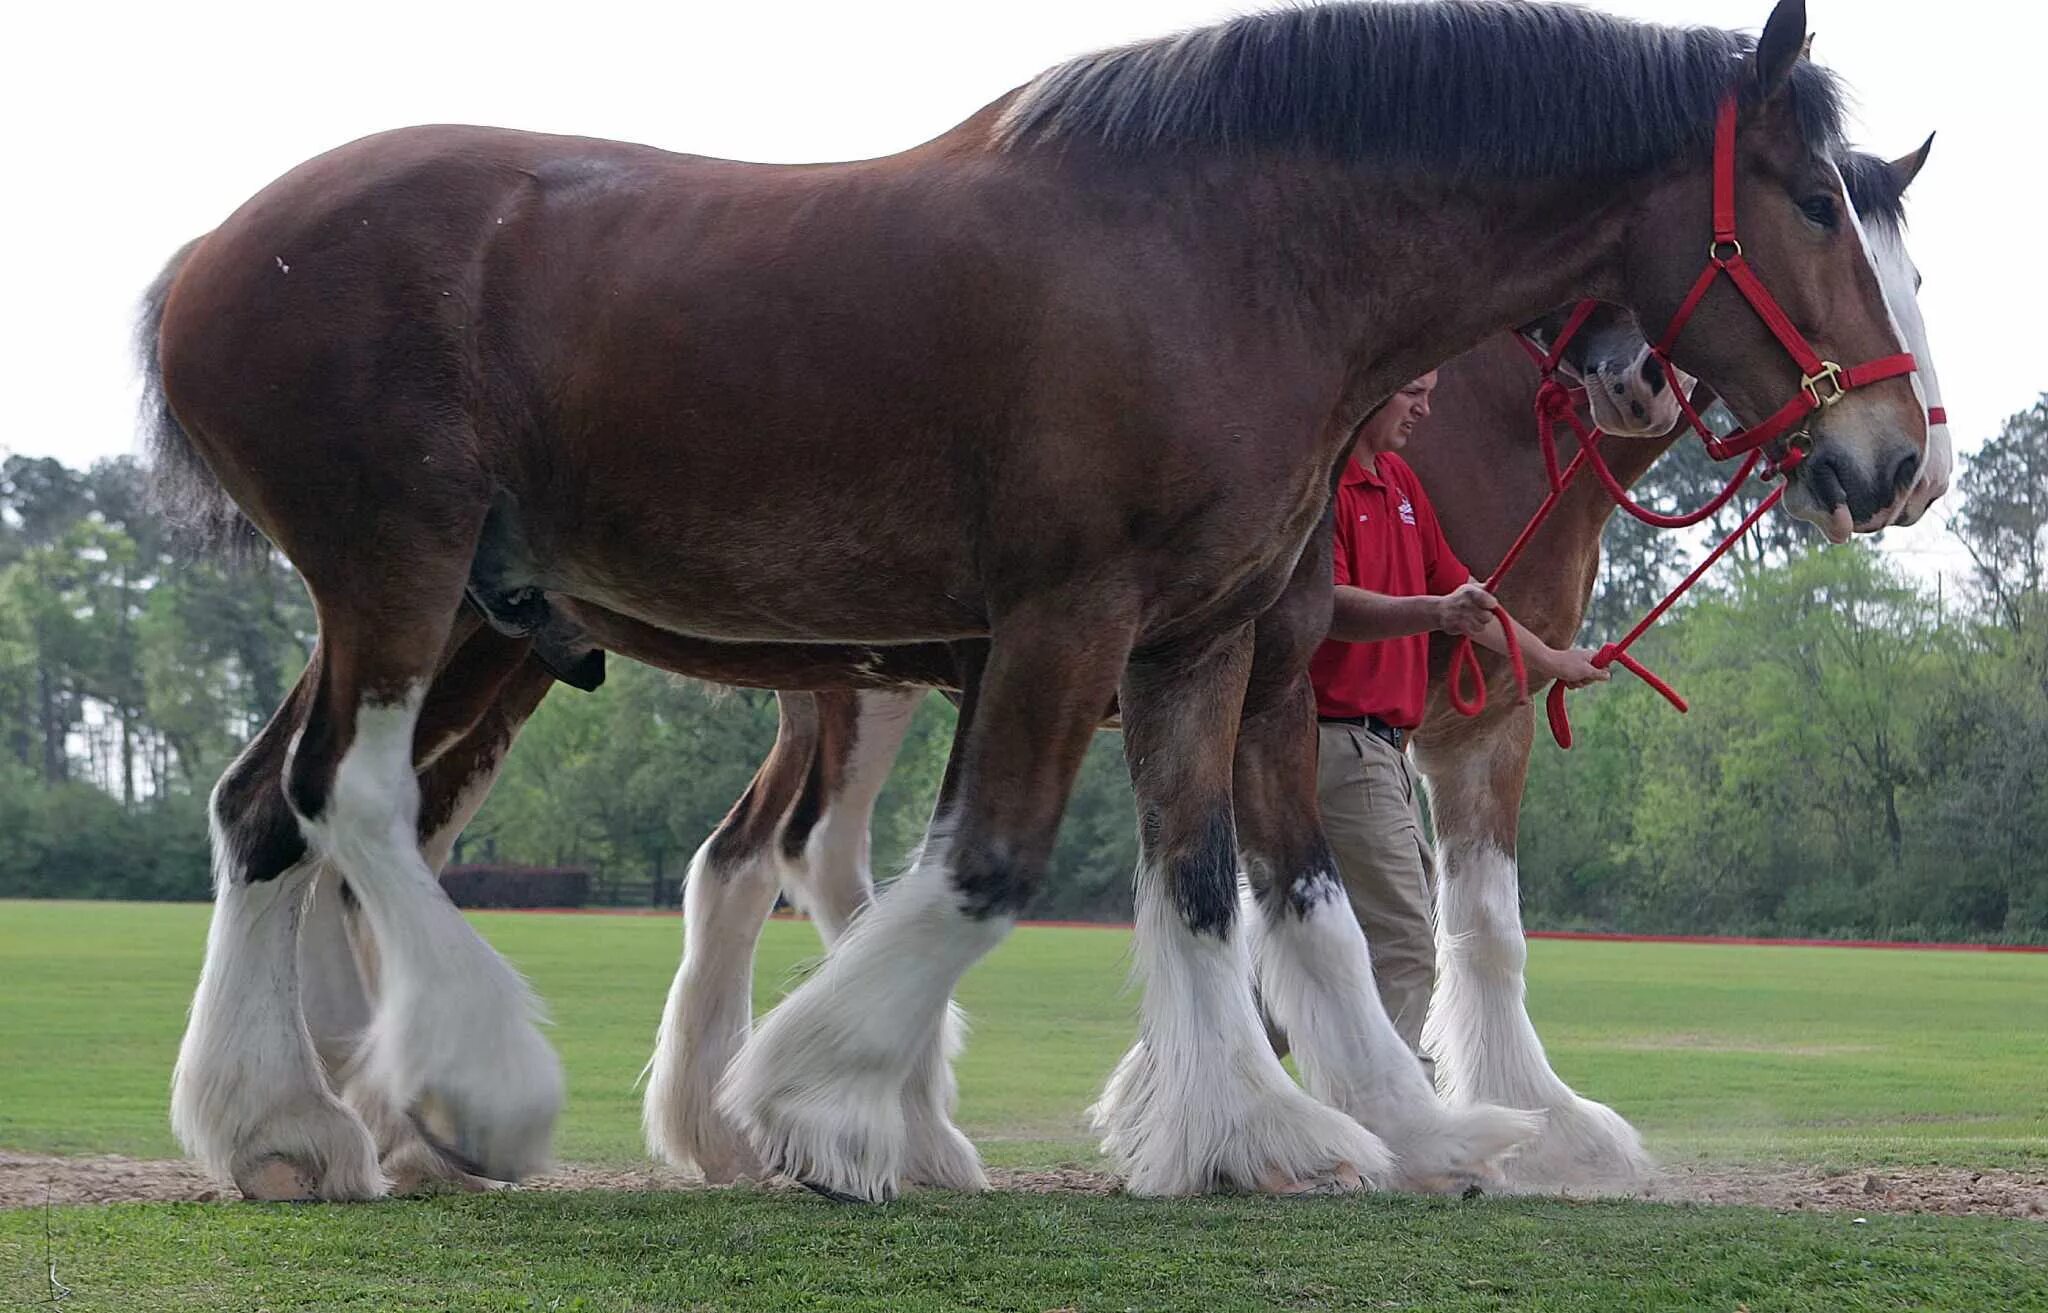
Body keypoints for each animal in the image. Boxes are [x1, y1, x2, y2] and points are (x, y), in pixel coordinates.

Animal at [151, 0, 1925, 1204]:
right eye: (1817, 204)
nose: (1894, 456)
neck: (1226, 252)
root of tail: (209, 256)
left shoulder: (1203, 642)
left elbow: (1228, 886)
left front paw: (1278, 1130)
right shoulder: (1074, 625)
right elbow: (996, 864)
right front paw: (816, 1099)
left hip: (444, 607)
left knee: (267, 809)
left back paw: (289, 1125)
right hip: (407, 569)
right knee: (359, 800)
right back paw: (471, 1088)